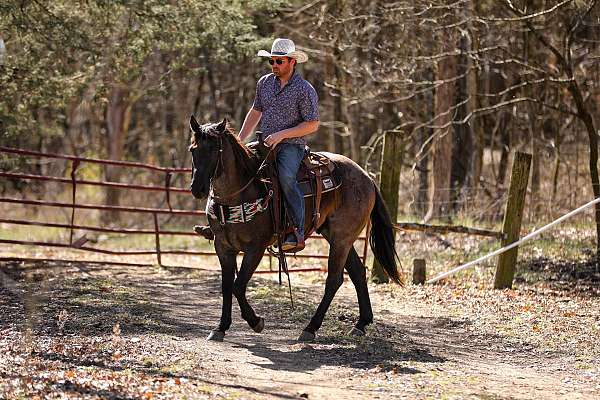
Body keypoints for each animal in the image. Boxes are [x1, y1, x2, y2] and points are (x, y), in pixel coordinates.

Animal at [189, 116, 404, 344]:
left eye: (214, 150)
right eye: (193, 149)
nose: (197, 189)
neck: (240, 192)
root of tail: (367, 178)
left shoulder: (255, 248)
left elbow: (238, 286)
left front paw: (256, 322)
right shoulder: (223, 247)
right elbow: (227, 286)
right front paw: (220, 328)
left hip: (342, 238)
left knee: (334, 279)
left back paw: (311, 328)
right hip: (336, 236)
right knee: (357, 272)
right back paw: (361, 324)